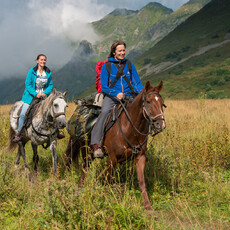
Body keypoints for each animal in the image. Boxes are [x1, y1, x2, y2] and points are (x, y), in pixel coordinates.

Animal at [64, 80, 165, 210]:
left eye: (162, 103)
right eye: (148, 101)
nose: (160, 125)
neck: (130, 127)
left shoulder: (140, 157)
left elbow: (142, 182)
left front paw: (148, 207)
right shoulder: (111, 159)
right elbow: (108, 181)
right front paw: (107, 201)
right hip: (86, 150)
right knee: (84, 168)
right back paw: (80, 189)